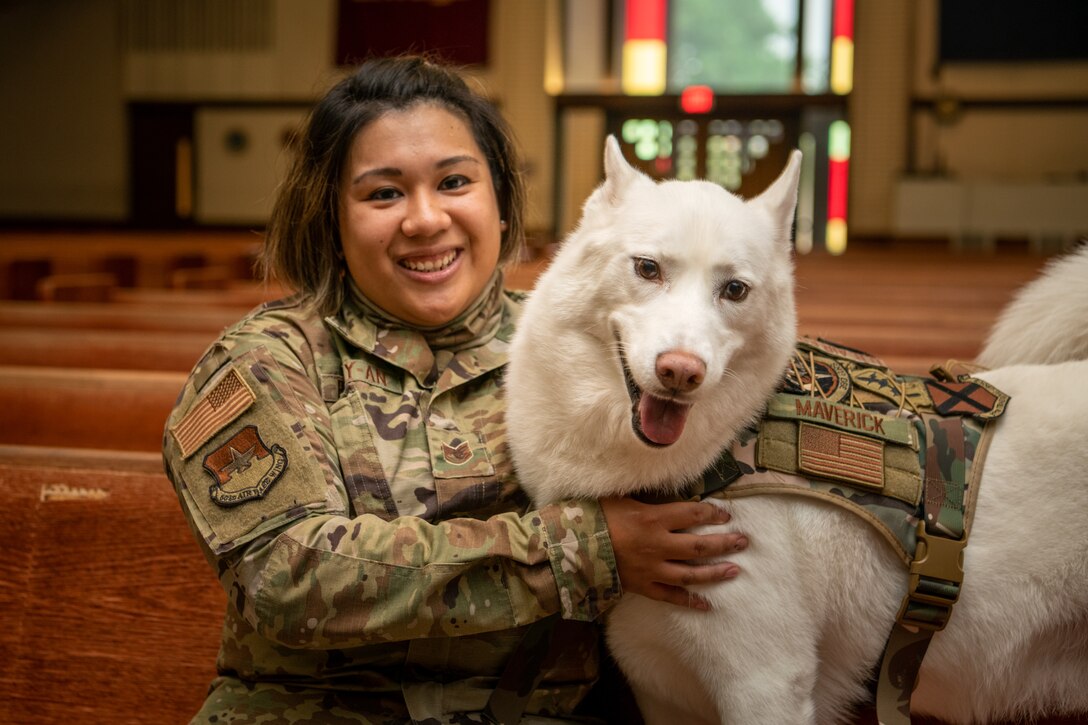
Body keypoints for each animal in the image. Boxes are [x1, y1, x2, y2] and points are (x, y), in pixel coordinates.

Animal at [507, 137, 1088, 722]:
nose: (681, 372)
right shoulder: (664, 694)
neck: (720, 454)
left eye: (734, 290)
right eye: (647, 268)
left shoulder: (766, 687)